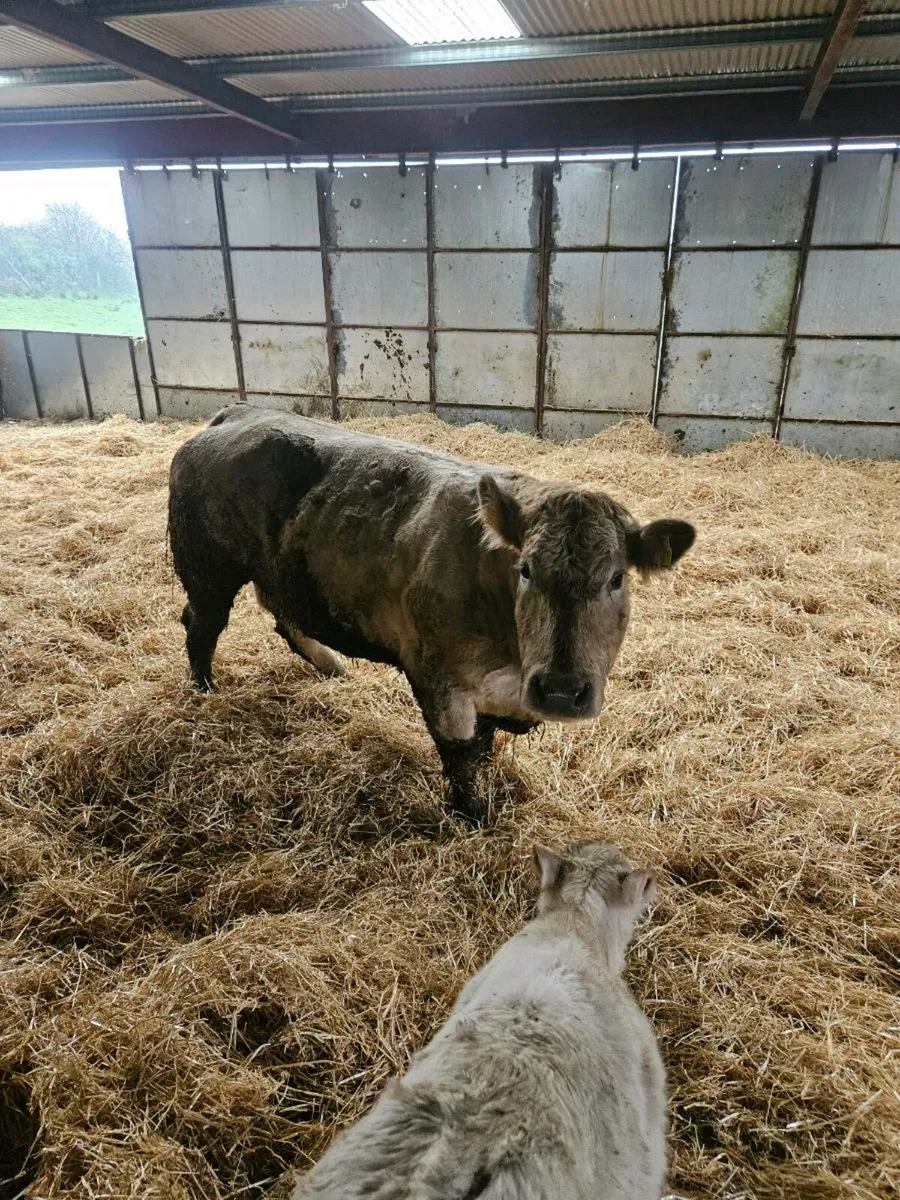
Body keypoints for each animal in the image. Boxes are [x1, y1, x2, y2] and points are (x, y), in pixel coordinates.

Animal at [168, 406, 694, 821]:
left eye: (616, 578)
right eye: (525, 569)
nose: (562, 690)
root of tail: (236, 414)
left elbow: (484, 747)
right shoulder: (438, 679)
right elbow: (461, 758)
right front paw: (474, 817)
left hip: (284, 574)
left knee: (283, 614)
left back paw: (331, 665)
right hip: (208, 569)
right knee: (202, 625)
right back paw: (205, 688)